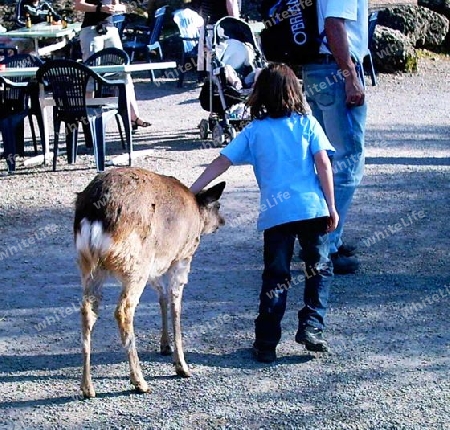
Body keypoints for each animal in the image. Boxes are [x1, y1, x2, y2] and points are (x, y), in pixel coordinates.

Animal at [75, 167, 227, 396]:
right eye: (218, 205)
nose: (222, 222)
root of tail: (95, 213)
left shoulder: (157, 266)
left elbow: (162, 297)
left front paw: (165, 346)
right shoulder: (181, 258)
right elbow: (175, 303)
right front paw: (182, 366)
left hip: (89, 265)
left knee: (87, 310)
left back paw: (87, 387)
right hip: (136, 264)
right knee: (123, 311)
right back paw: (139, 381)